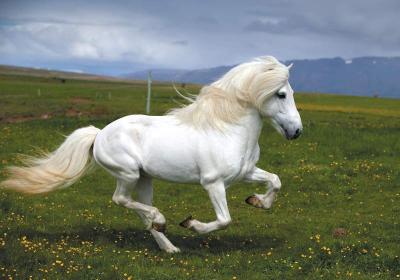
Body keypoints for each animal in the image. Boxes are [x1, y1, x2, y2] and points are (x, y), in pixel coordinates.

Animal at [0, 55, 304, 253]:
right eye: (281, 94)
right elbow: (224, 220)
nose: (297, 131)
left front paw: (257, 201)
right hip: (128, 173)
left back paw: (170, 247)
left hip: (145, 179)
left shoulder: (245, 172)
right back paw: (162, 221)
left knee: (140, 212)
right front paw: (191, 224)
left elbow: (275, 180)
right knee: (121, 200)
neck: (227, 129)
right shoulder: (213, 183)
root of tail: (99, 134)